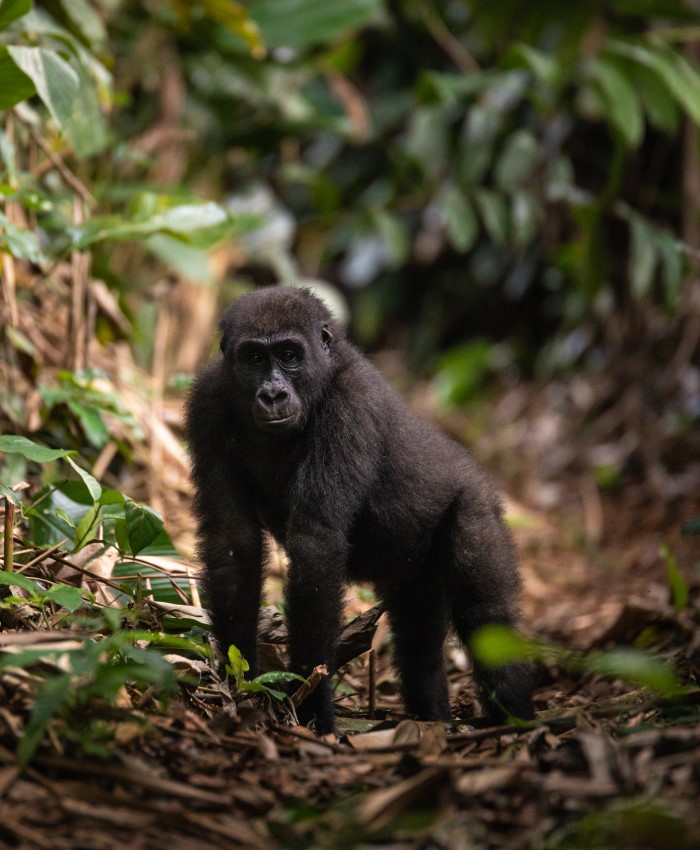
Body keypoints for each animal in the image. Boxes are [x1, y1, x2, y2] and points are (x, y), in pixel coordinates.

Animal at [186, 286, 534, 734]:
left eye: (289, 355)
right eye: (254, 359)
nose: (273, 394)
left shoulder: (351, 403)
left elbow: (316, 544)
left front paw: (311, 704)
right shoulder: (207, 400)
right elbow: (233, 541)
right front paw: (239, 681)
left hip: (476, 508)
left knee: (487, 618)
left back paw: (517, 716)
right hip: (415, 569)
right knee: (418, 639)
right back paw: (434, 716)